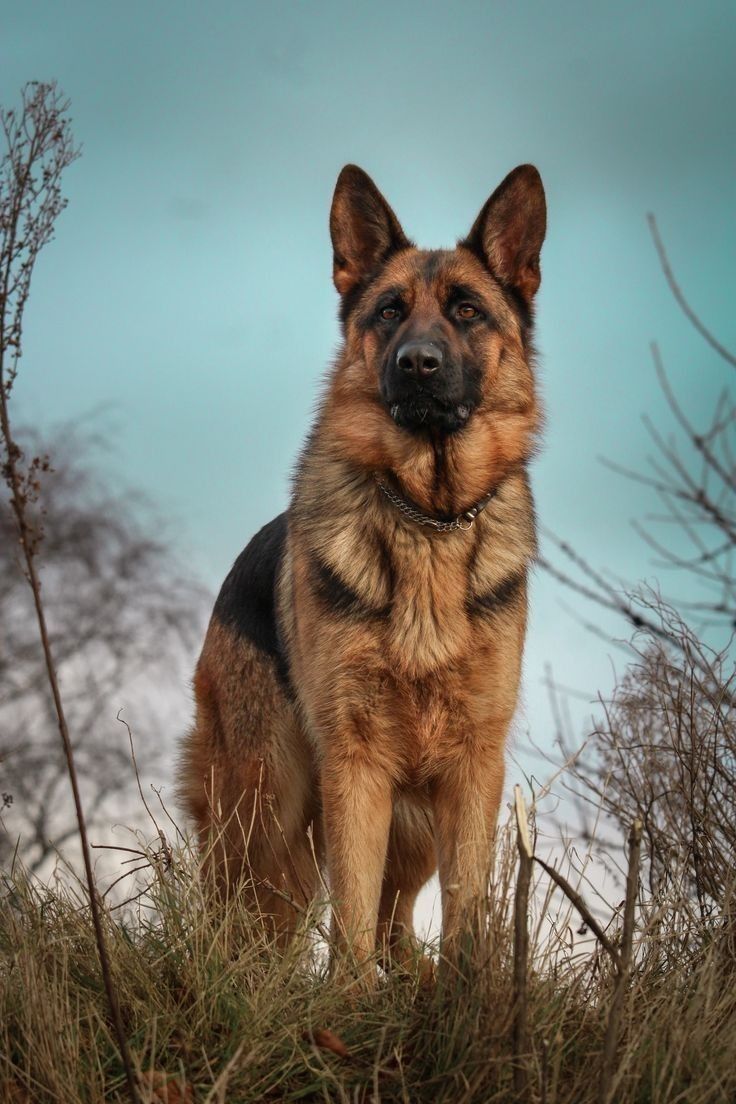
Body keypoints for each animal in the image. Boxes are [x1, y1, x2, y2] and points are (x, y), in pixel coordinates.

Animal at [178, 161, 547, 975]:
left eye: (468, 311)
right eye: (388, 311)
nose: (418, 365)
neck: (429, 519)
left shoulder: (473, 768)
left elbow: (464, 905)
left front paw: (465, 991)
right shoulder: (356, 763)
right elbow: (346, 913)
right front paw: (347, 999)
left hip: (406, 826)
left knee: (394, 921)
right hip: (266, 809)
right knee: (248, 910)